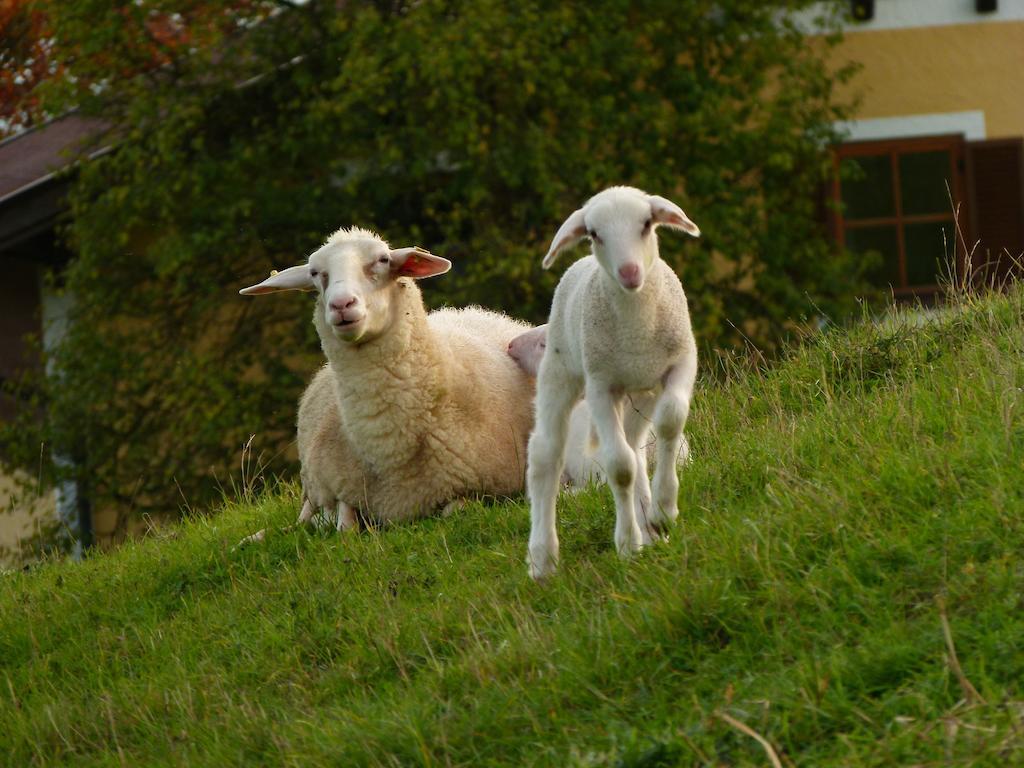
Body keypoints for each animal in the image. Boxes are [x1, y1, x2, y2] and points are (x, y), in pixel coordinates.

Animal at [236, 227, 536, 540]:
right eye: (315, 273)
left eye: (382, 260)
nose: (341, 305)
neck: (390, 449)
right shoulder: (342, 489)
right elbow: (343, 527)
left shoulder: (484, 491)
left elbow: (456, 510)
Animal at [524, 186, 700, 581]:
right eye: (594, 234)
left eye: (647, 223)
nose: (629, 272)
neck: (636, 325)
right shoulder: (601, 387)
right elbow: (619, 467)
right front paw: (628, 544)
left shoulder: (681, 362)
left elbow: (671, 421)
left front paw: (664, 510)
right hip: (561, 370)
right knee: (546, 454)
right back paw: (543, 559)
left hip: (641, 393)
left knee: (636, 446)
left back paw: (650, 526)